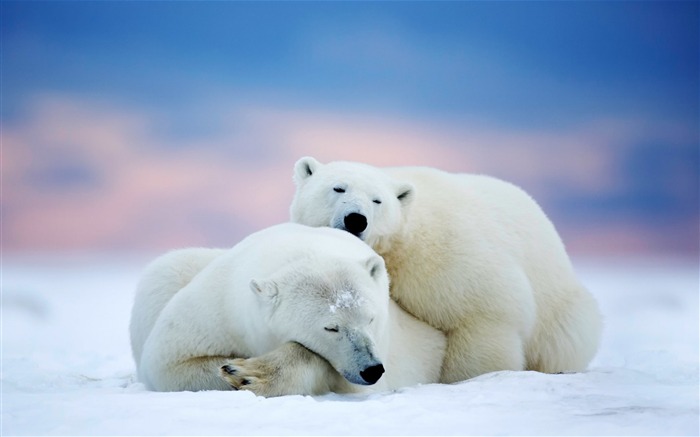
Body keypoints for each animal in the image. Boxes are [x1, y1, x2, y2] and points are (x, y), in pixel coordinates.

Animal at [130, 221, 442, 396]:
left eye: (371, 318)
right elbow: (169, 362)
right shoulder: (218, 308)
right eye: (331, 327)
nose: (372, 369)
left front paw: (249, 373)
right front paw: (236, 370)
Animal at [288, 157, 600, 382]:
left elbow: (483, 314)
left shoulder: (446, 257)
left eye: (378, 200)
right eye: (338, 188)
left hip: (559, 308)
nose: (356, 219)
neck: (401, 243)